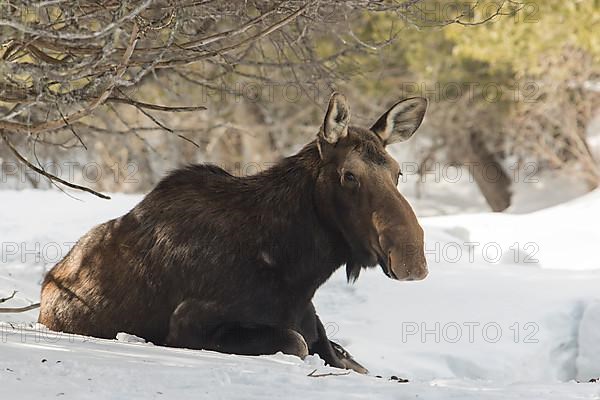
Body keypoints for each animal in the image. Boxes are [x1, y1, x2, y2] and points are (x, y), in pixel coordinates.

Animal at [37, 93, 428, 372]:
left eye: (398, 173)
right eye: (349, 175)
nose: (411, 259)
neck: (298, 269)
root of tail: (49, 280)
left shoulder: (318, 330)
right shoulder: (189, 323)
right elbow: (296, 343)